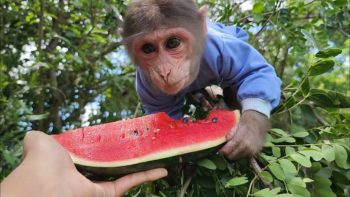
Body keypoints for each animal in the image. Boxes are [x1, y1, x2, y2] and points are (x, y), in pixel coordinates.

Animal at [121, 0, 282, 160]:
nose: (164, 71)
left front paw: (247, 134)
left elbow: (255, 72)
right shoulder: (147, 87)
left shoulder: (220, 49)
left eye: (173, 43)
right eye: (148, 49)